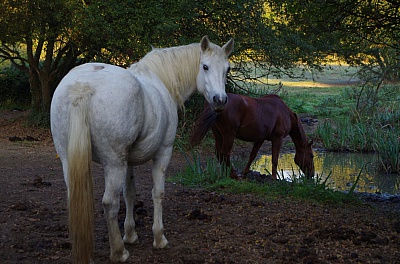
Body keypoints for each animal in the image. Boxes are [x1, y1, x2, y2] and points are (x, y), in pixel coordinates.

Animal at [49, 35, 233, 264]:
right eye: (205, 66)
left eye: (227, 69)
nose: (220, 100)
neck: (161, 80)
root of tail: (82, 87)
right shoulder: (163, 153)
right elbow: (158, 193)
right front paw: (159, 238)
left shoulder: (128, 162)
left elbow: (129, 193)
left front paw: (130, 234)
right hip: (114, 163)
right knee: (109, 203)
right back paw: (119, 252)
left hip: (71, 161)